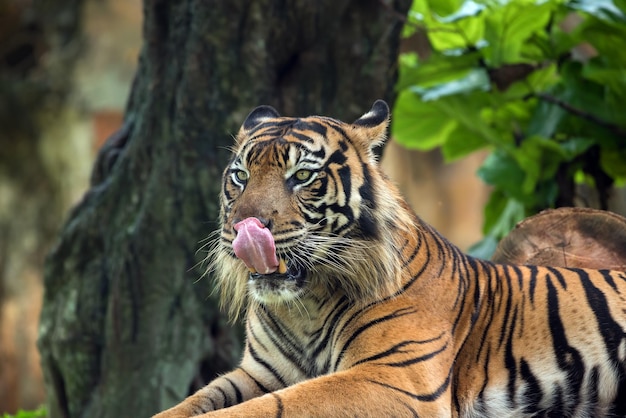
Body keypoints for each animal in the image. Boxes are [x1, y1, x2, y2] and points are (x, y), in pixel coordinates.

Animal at [152, 99, 624, 416]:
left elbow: (271, 408)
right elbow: (192, 402)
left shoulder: (393, 377)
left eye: (301, 176)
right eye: (240, 176)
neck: (304, 305)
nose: (242, 227)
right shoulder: (259, 374)